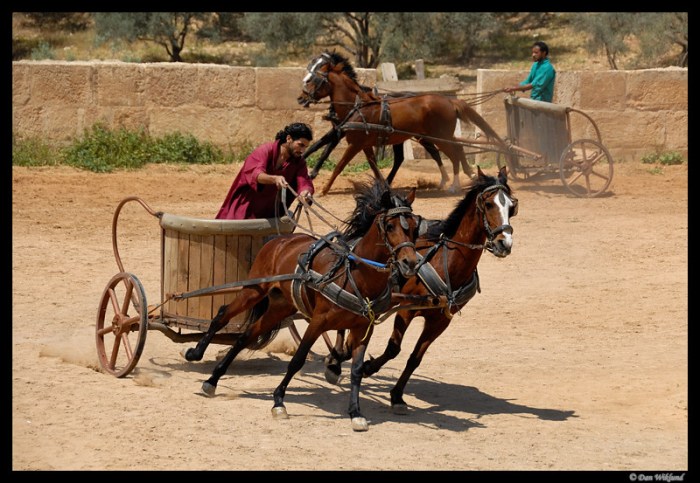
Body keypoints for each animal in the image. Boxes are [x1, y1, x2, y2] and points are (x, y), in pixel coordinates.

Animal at [183, 179, 418, 434]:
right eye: (390, 226)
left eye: (415, 227)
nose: (411, 262)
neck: (355, 276)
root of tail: (279, 240)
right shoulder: (317, 322)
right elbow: (298, 360)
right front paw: (278, 401)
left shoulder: (363, 329)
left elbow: (356, 371)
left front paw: (356, 412)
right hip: (253, 290)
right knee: (222, 315)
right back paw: (196, 354)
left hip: (281, 306)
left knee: (246, 335)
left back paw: (213, 380)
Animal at [298, 52, 506, 196]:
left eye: (314, 78)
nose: (300, 98)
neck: (358, 107)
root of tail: (449, 100)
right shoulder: (362, 143)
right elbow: (373, 165)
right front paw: (383, 185)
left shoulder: (353, 143)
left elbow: (339, 164)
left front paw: (323, 187)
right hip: (431, 137)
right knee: (449, 152)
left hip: (440, 137)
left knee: (454, 153)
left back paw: (454, 184)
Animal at [322, 167, 516, 416]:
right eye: (489, 204)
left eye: (512, 206)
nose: (504, 244)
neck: (447, 262)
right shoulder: (407, 310)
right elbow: (394, 348)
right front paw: (367, 367)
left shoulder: (440, 320)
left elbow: (415, 358)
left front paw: (397, 395)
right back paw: (336, 361)